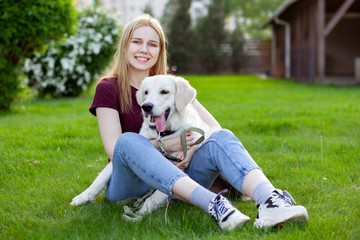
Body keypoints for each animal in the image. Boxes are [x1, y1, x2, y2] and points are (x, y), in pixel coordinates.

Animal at [71, 75, 208, 218]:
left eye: (164, 92)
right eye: (146, 92)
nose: (146, 106)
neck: (163, 135)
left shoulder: (179, 164)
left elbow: (158, 194)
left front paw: (141, 212)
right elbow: (100, 178)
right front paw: (83, 197)